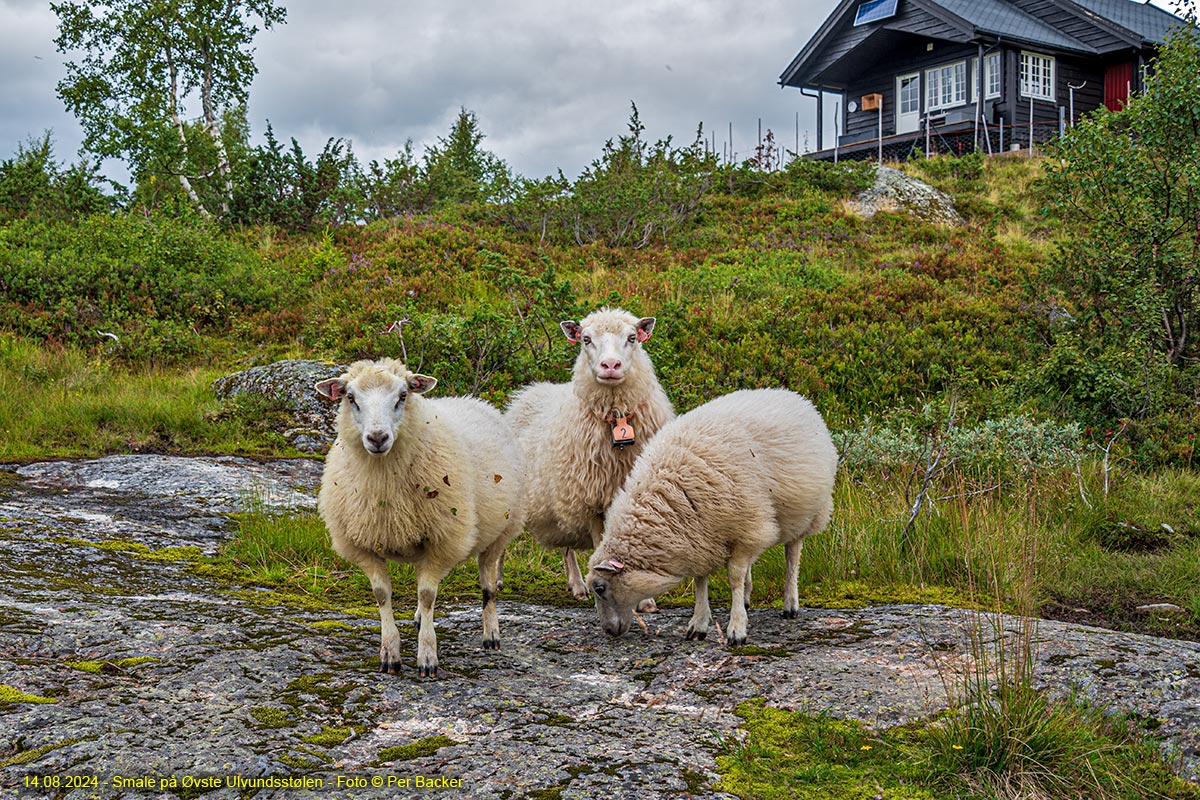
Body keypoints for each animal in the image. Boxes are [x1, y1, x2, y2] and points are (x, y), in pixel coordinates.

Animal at [314, 359, 525, 681]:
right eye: (350, 398)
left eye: (402, 395)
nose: (377, 438)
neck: (384, 483)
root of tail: (474, 401)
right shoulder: (364, 545)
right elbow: (382, 595)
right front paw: (390, 653)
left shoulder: (441, 539)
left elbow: (427, 595)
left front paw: (427, 656)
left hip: (499, 532)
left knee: (487, 586)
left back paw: (491, 634)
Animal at [504, 307, 676, 599]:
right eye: (586, 339)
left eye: (632, 338)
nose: (610, 366)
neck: (617, 418)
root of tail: (528, 393)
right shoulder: (593, 501)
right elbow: (600, 546)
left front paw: (646, 601)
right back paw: (496, 581)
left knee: (566, 546)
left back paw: (576, 585)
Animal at [585, 388, 840, 652]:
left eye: (600, 588)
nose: (608, 631)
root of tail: (794, 396)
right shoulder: (702, 538)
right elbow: (700, 582)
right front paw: (698, 624)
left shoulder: (745, 526)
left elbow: (735, 578)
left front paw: (736, 629)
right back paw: (747, 599)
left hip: (805, 514)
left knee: (792, 556)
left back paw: (790, 603)